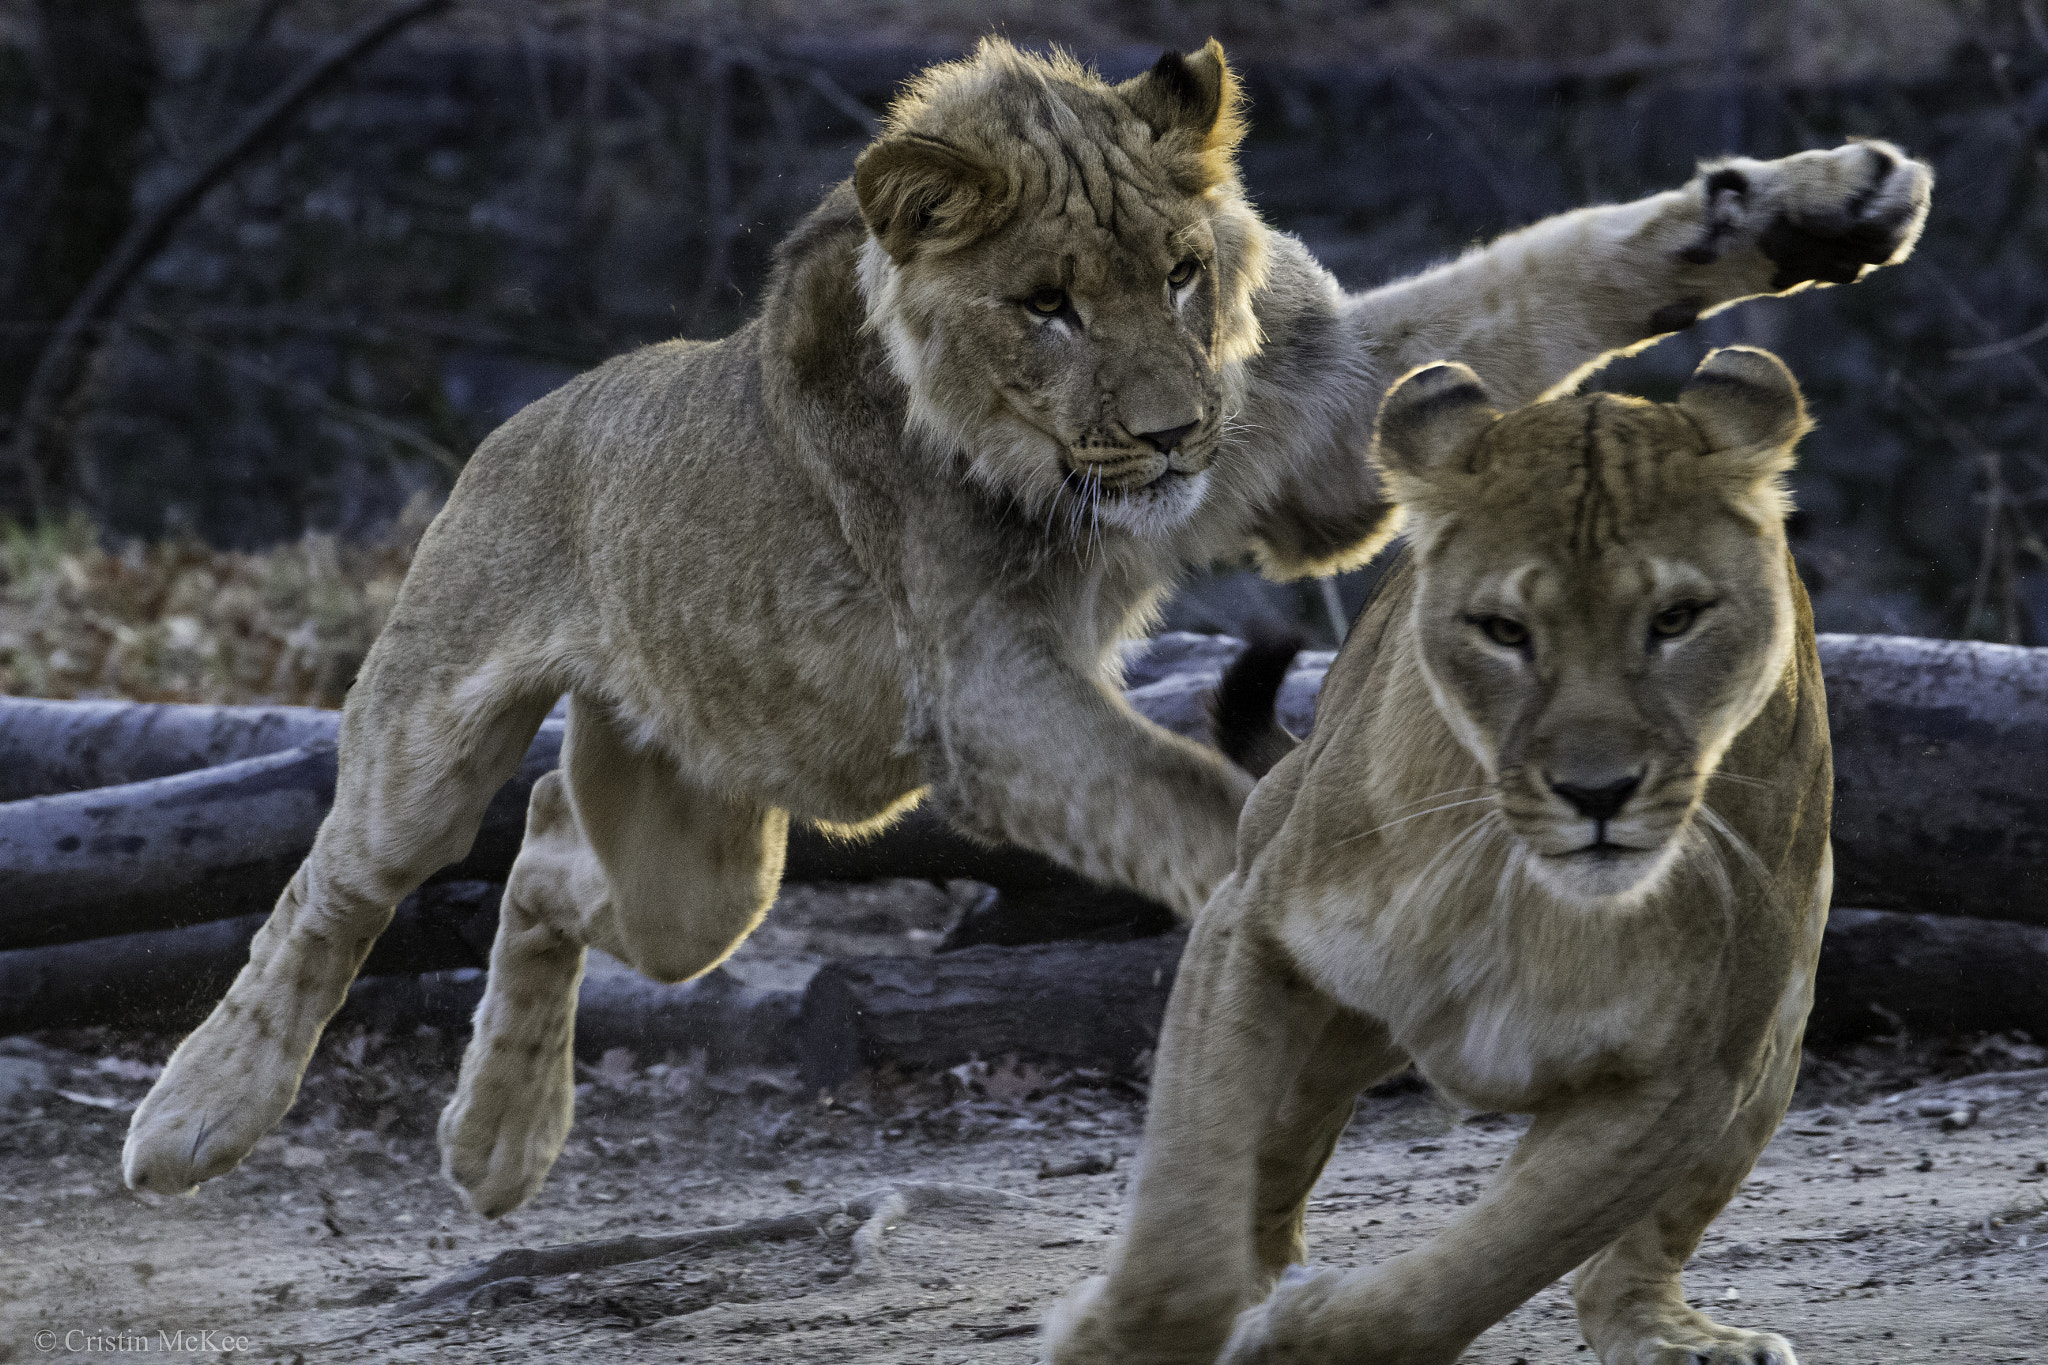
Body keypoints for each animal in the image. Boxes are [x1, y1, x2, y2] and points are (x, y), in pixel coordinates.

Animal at [122, 37, 1920, 1221]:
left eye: (1184, 273)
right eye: (1044, 303)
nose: (1175, 433)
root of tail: (532, 416)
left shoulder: (1317, 443)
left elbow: (1568, 269)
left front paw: (1822, 204)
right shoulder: (985, 685)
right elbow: (1199, 798)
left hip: (713, 865)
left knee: (557, 849)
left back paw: (500, 1135)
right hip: (437, 729)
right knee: (342, 885)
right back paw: (198, 1113)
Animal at [1044, 346, 1834, 1365]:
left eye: (1677, 618)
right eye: (1503, 629)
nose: (1598, 792)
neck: (1523, 885)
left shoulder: (1688, 1081)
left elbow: (1488, 1261)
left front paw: (1310, 1341)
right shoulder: (1249, 928)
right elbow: (1193, 1179)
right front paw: (1134, 1341)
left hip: (1777, 1041)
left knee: (1621, 1269)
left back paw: (1674, 1335)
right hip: (1327, 1033)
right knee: (1271, 1169)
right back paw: (1262, 1281)